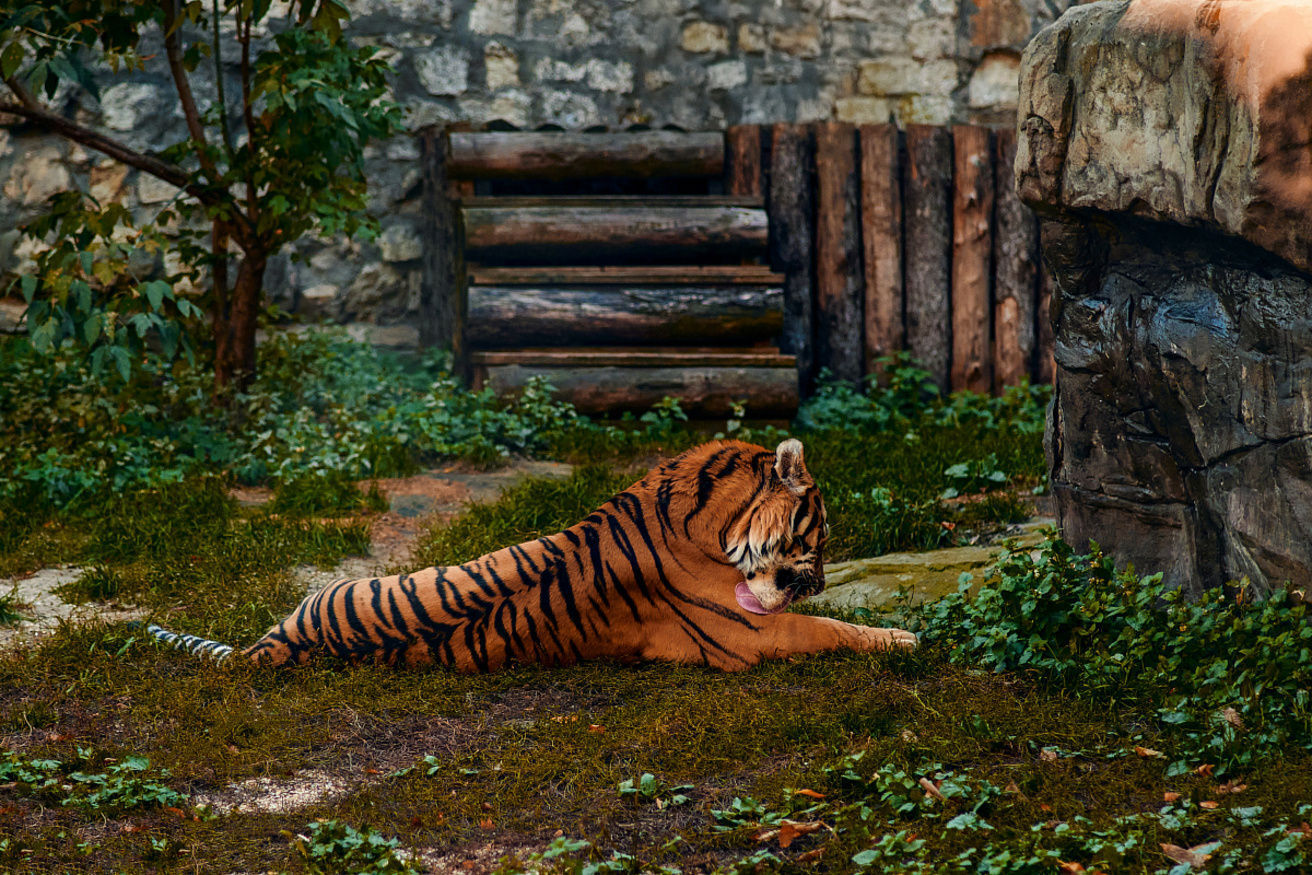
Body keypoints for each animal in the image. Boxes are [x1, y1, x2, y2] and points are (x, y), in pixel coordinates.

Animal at [147, 439, 917, 671]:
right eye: (819, 537)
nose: (816, 581)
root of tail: (273, 648)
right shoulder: (749, 634)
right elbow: (834, 631)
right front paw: (907, 637)